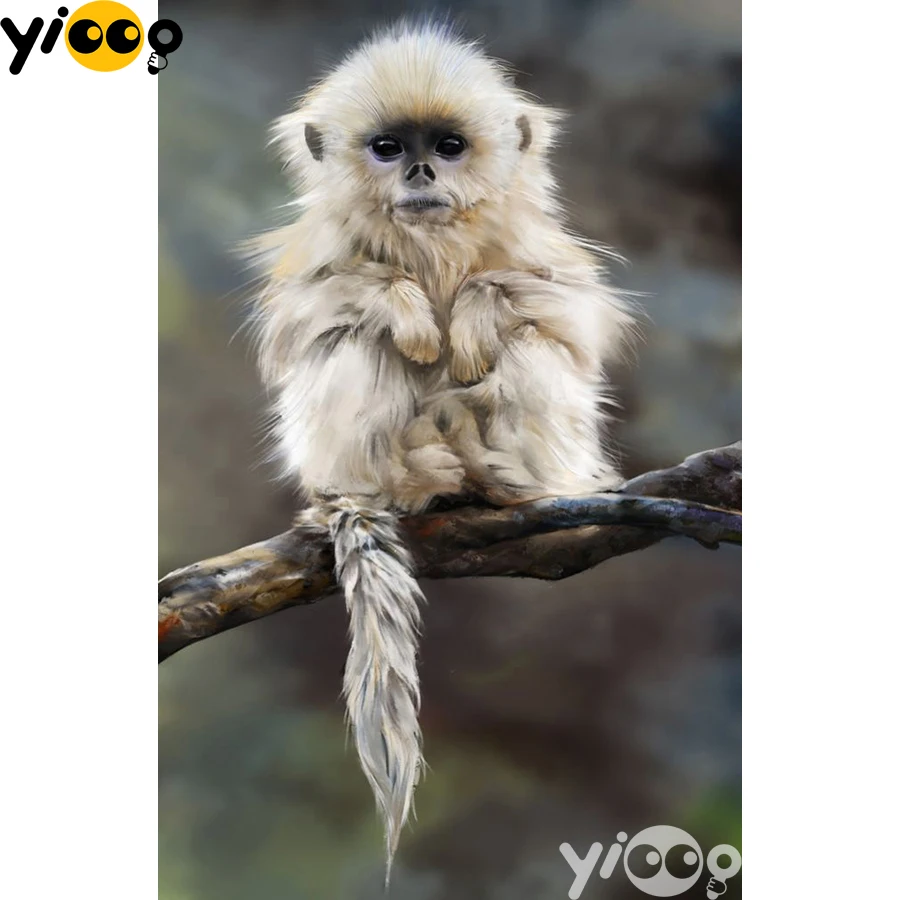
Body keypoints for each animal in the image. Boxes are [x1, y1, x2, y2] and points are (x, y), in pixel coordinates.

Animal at [246, 21, 635, 881]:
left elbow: (565, 317)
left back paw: (505, 483)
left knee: (529, 344)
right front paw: (412, 313)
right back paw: (399, 484)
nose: (421, 171)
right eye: (389, 147)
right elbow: (314, 317)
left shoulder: (539, 249)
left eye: (449, 146)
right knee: (354, 341)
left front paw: (470, 320)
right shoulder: (319, 256)